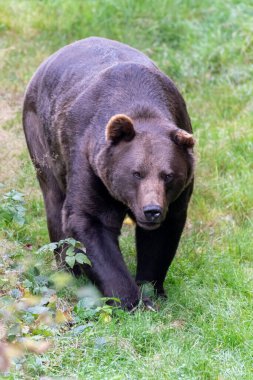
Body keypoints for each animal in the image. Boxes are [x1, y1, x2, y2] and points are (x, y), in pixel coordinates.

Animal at [22, 35, 195, 310]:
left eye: (168, 175)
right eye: (136, 173)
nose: (152, 210)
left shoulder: (177, 194)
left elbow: (162, 238)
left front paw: (152, 289)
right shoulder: (90, 165)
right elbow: (89, 222)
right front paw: (131, 300)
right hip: (42, 137)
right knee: (54, 203)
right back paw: (69, 272)